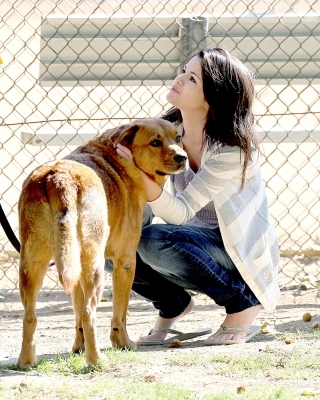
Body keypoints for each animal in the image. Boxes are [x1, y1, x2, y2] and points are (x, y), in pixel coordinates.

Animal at [16, 118, 188, 366]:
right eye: (155, 142)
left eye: (178, 138)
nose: (183, 158)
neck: (119, 158)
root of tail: (59, 178)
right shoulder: (125, 261)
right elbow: (120, 313)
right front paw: (123, 343)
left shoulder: (76, 269)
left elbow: (77, 316)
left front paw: (79, 348)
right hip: (94, 268)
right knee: (90, 313)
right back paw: (96, 360)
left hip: (32, 265)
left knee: (30, 315)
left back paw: (27, 362)